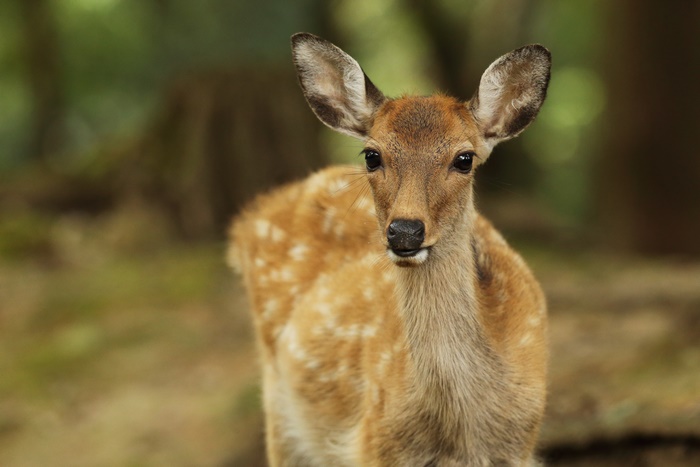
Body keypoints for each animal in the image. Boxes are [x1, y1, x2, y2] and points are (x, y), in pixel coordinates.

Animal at [229, 32, 551, 466]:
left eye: (464, 158)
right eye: (372, 155)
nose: (405, 232)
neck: (463, 430)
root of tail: (249, 219)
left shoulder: (519, 449)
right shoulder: (374, 444)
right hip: (280, 410)